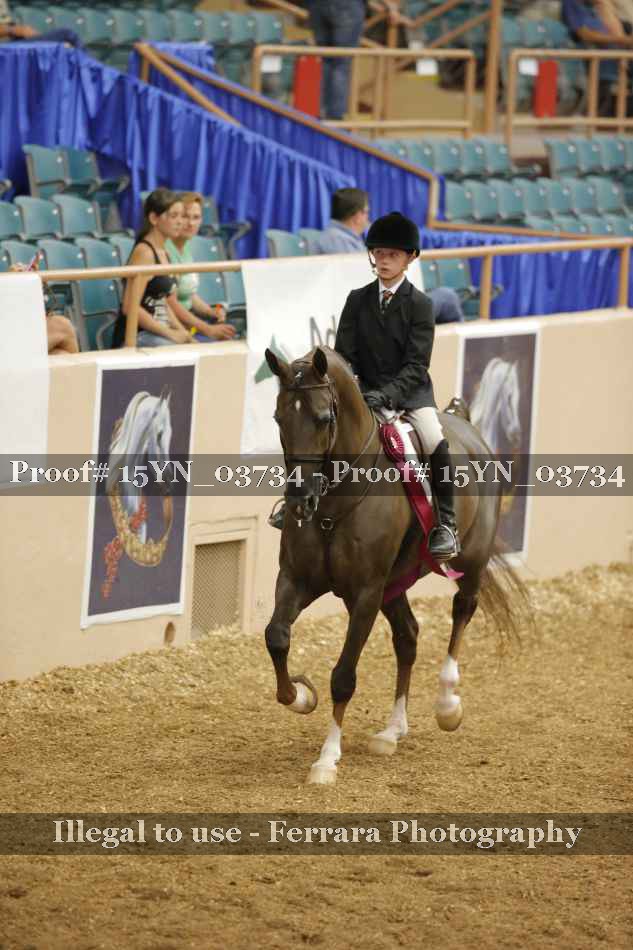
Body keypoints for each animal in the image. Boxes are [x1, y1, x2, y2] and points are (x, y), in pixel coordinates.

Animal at [264, 345, 528, 786]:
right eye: (279, 418)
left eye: (323, 418)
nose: (300, 500)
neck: (333, 505)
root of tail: (467, 425)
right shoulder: (297, 579)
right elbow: (276, 637)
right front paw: (299, 695)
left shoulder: (366, 593)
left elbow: (343, 677)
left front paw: (327, 759)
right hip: (394, 586)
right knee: (408, 636)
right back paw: (392, 731)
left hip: (468, 564)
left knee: (462, 611)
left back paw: (447, 705)